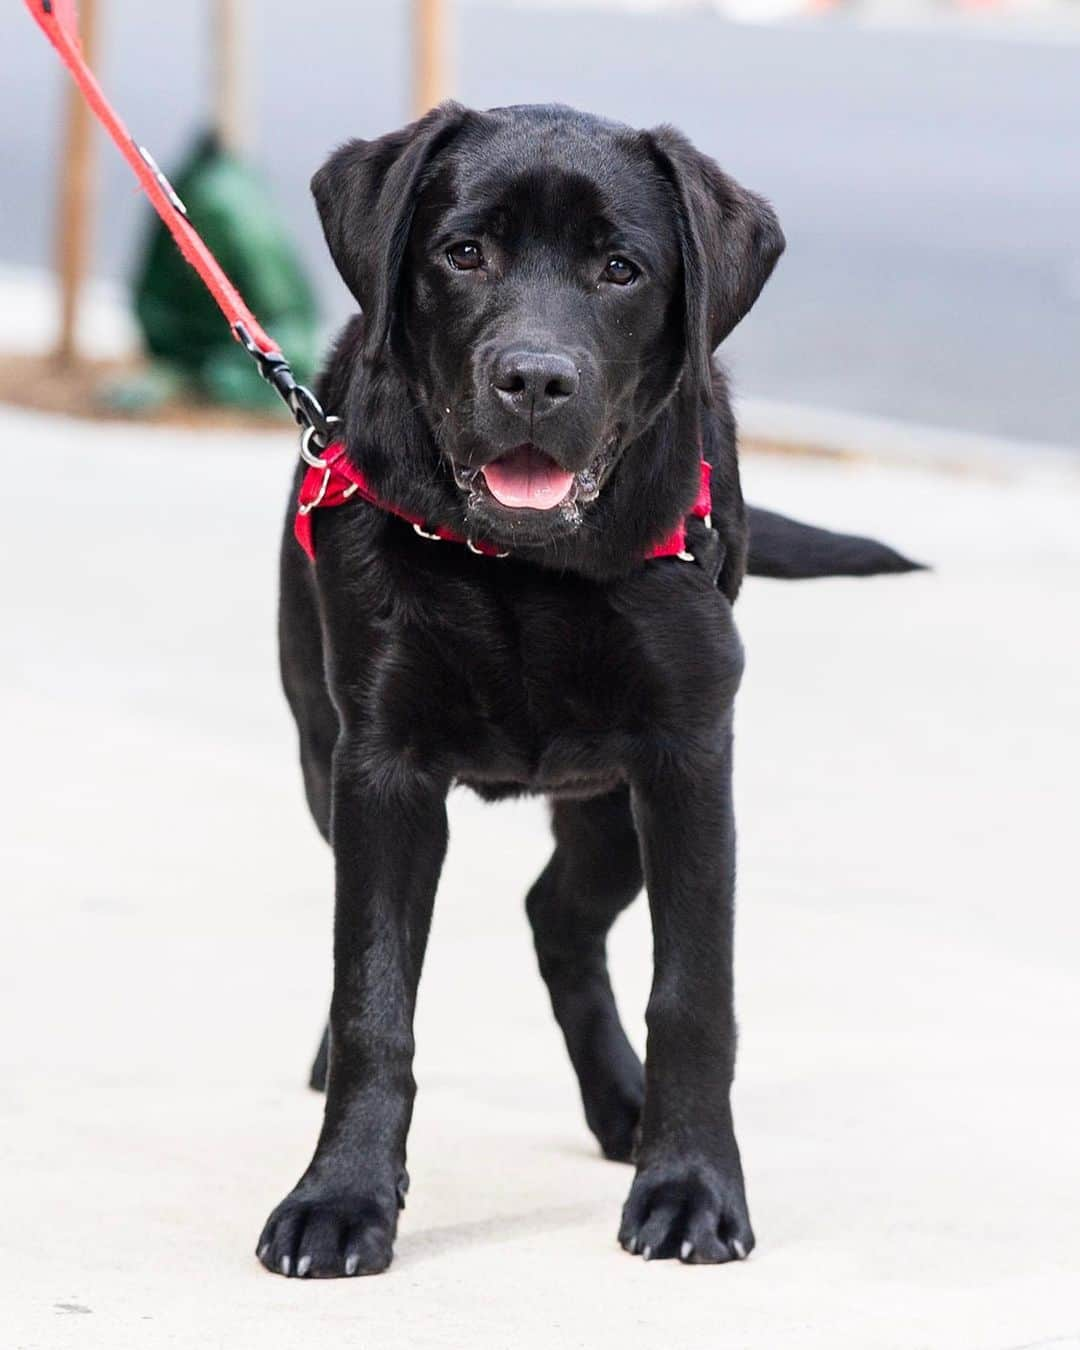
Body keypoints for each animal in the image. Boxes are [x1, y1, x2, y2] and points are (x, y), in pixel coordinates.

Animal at [257, 102, 918, 1274]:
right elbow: (374, 989)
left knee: (559, 918)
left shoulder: (687, 759)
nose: (535, 378)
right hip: (317, 750)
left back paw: (626, 1107)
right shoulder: (379, 766)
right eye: (463, 253)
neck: (524, 569)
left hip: (611, 801)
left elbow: (694, 995)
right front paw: (339, 1197)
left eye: (620, 269)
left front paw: (691, 1186)